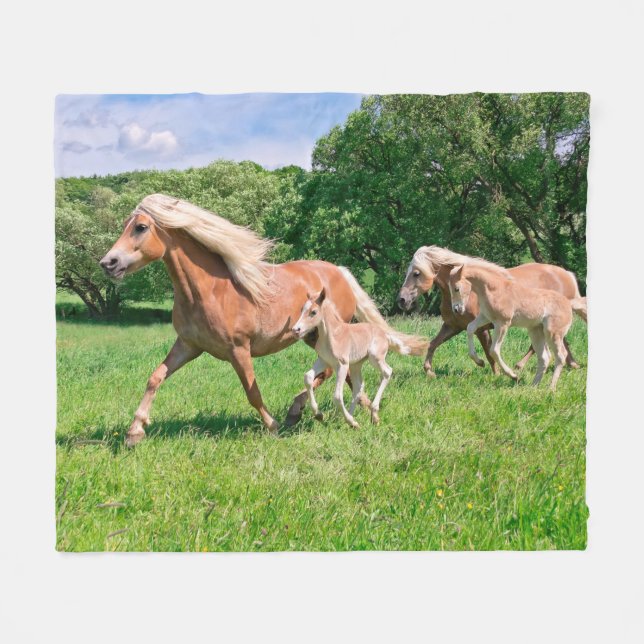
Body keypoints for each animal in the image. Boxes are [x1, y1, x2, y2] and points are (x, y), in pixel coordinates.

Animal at [292, 289, 428, 428]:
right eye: (302, 309)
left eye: (313, 312)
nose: (295, 330)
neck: (333, 335)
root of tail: (385, 334)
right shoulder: (324, 361)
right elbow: (308, 377)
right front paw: (318, 414)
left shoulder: (342, 365)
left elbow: (337, 396)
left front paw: (350, 421)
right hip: (356, 364)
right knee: (359, 386)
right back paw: (352, 418)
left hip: (374, 358)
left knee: (387, 371)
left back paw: (371, 415)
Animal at [397, 246, 587, 377]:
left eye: (416, 273)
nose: (401, 300)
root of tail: (567, 274)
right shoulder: (452, 326)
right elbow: (432, 344)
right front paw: (429, 371)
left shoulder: (482, 328)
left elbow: (489, 353)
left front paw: (494, 372)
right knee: (558, 342)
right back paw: (572, 364)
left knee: (543, 344)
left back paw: (520, 366)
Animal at [448, 263, 583, 391]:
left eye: (456, 288)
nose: (456, 309)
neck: (494, 289)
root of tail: (568, 303)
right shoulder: (485, 317)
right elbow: (470, 328)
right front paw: (479, 361)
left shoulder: (502, 323)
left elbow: (494, 350)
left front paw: (513, 375)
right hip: (536, 332)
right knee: (544, 357)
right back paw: (533, 386)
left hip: (553, 333)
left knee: (560, 355)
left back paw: (551, 388)